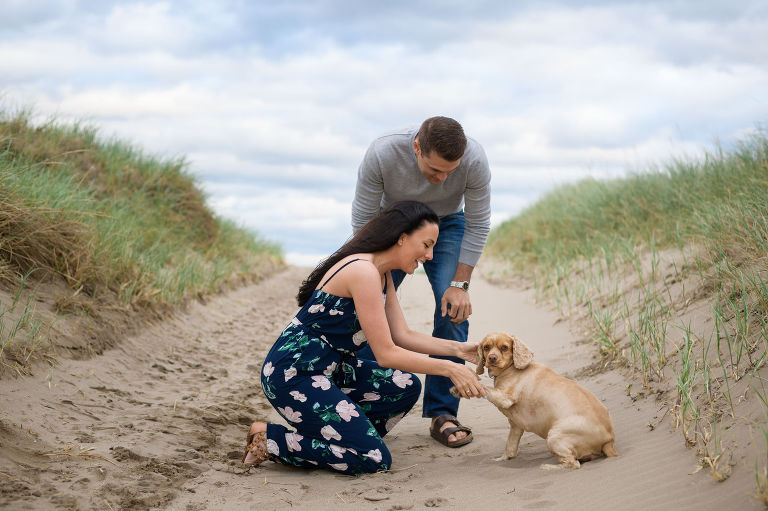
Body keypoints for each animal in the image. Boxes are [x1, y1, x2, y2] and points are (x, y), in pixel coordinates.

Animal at [452, 334, 620, 470]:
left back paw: (548, 467)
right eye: (486, 347)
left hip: (554, 437)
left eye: (504, 347)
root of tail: (609, 440)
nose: (492, 358)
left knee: (573, 464)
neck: (510, 369)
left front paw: (458, 388)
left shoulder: (505, 398)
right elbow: (510, 447)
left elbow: (484, 388)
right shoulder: (516, 426)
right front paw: (501, 459)